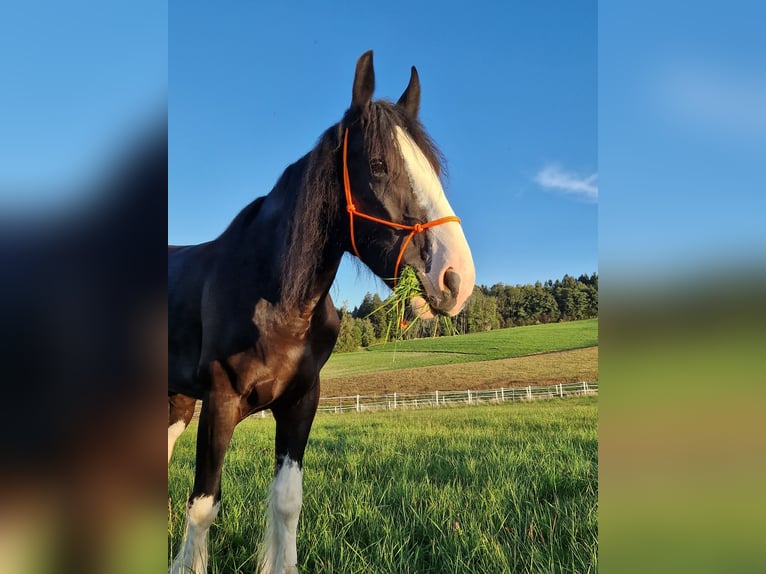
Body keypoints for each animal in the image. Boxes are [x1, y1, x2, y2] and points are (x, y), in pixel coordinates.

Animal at [170, 51, 474, 572]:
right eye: (378, 164)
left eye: (434, 168)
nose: (455, 278)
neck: (277, 305)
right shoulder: (220, 401)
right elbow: (203, 507)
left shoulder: (301, 401)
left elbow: (287, 501)